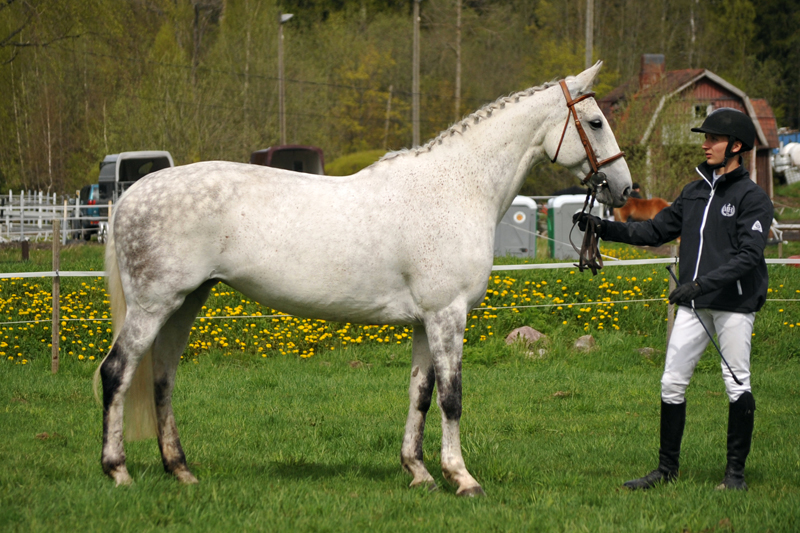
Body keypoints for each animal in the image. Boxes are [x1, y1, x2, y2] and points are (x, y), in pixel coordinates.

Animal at [94, 62, 631, 495]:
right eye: (595, 122)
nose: (625, 189)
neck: (458, 187)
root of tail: (133, 193)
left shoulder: (425, 322)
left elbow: (421, 394)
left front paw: (419, 472)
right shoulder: (447, 315)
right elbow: (452, 397)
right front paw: (461, 478)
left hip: (186, 303)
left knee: (162, 377)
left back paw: (180, 470)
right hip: (153, 306)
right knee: (117, 372)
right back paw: (117, 470)